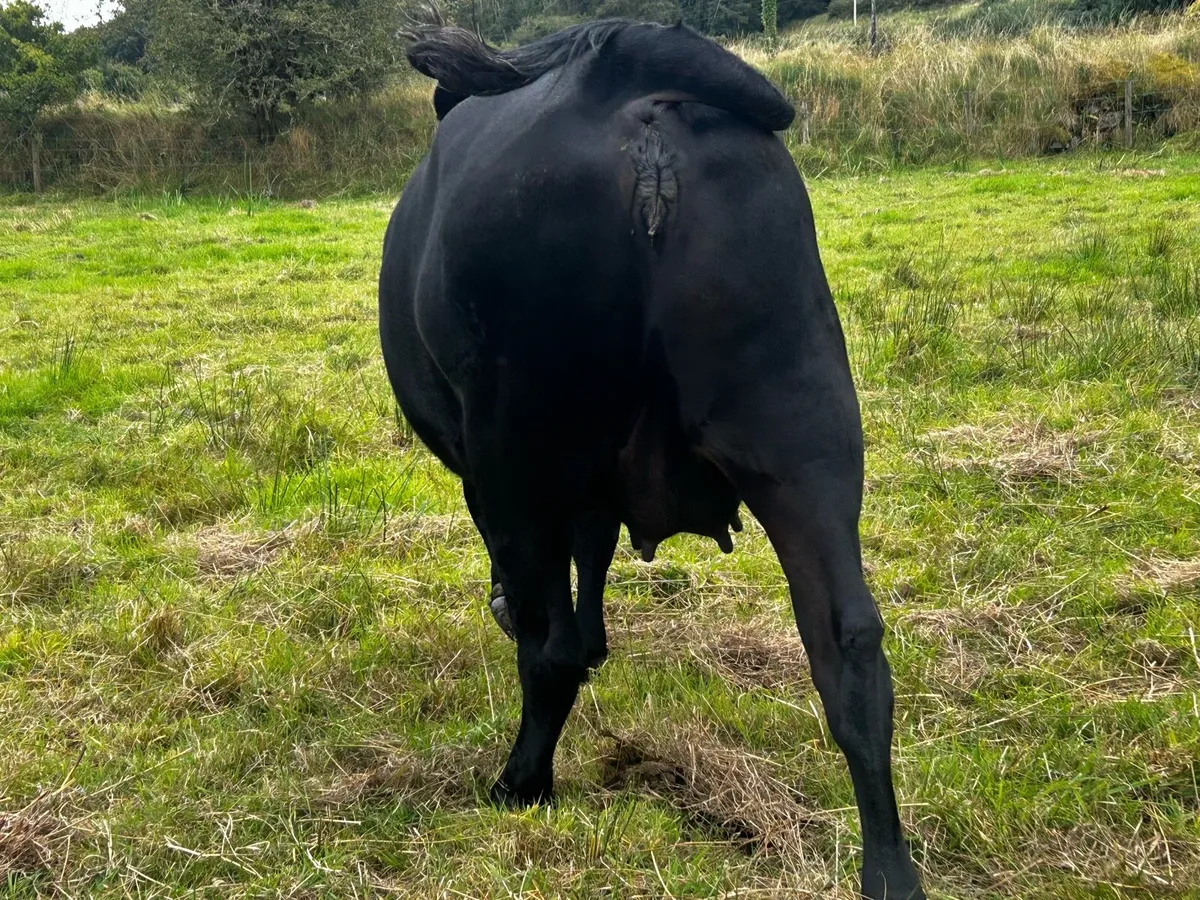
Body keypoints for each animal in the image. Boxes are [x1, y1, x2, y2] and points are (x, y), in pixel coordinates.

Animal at [378, 17, 925, 899]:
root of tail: (631, 81)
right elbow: (596, 549)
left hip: (517, 451)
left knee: (547, 648)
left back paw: (520, 782)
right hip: (805, 432)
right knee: (850, 646)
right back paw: (889, 868)